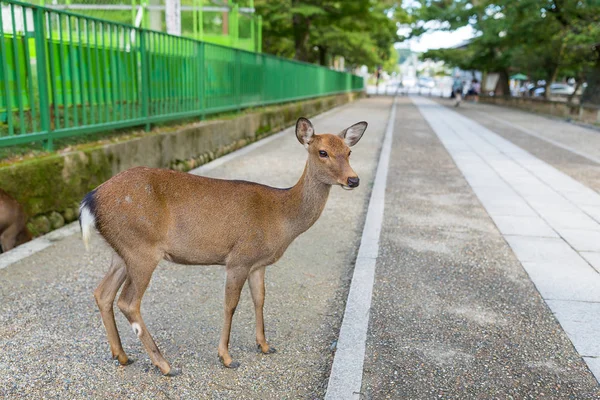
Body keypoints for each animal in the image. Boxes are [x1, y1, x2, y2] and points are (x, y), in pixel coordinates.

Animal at [81, 117, 368, 376]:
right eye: (323, 152)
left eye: (349, 151)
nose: (353, 180)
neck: (281, 218)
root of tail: (89, 201)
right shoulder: (239, 258)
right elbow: (231, 304)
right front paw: (227, 358)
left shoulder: (258, 263)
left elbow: (260, 299)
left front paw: (265, 345)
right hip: (141, 248)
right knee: (128, 301)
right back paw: (165, 365)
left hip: (121, 251)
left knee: (102, 292)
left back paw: (122, 355)